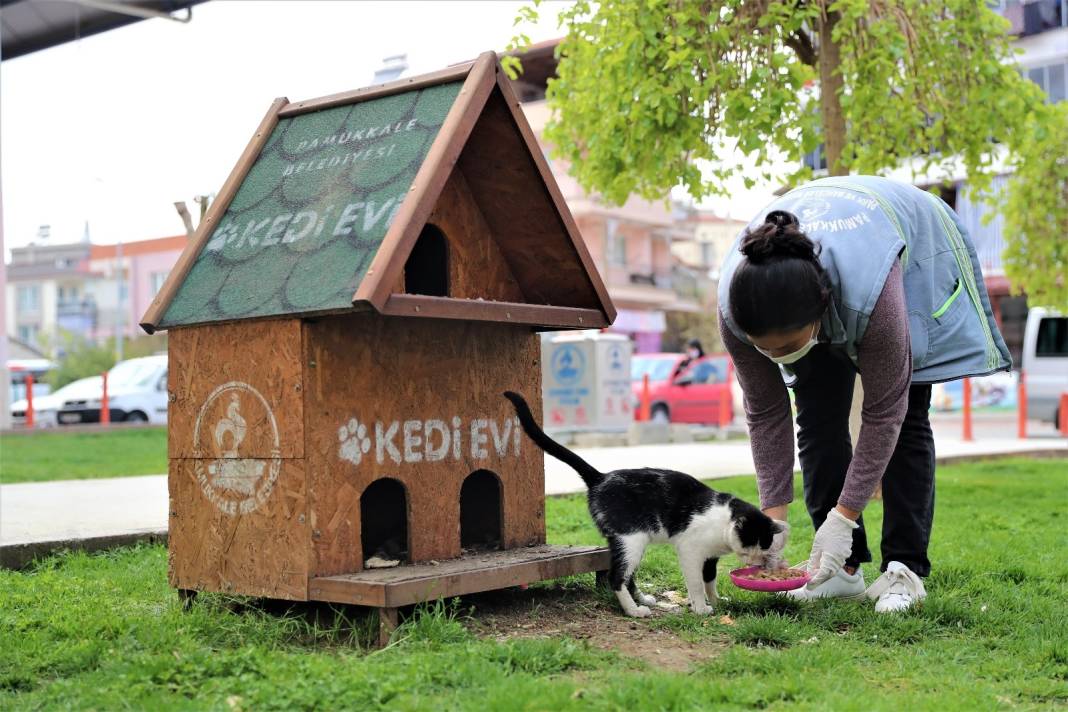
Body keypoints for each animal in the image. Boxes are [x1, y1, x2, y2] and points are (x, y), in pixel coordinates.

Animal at [504, 390, 781, 619]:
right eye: (753, 542)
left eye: (764, 545)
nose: (756, 561)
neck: (723, 523)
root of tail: (600, 477)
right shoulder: (691, 550)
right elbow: (695, 582)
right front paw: (701, 608)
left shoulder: (710, 557)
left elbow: (709, 580)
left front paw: (716, 600)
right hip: (631, 539)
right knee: (616, 576)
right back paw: (634, 611)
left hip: (628, 542)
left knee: (626, 574)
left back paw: (643, 600)